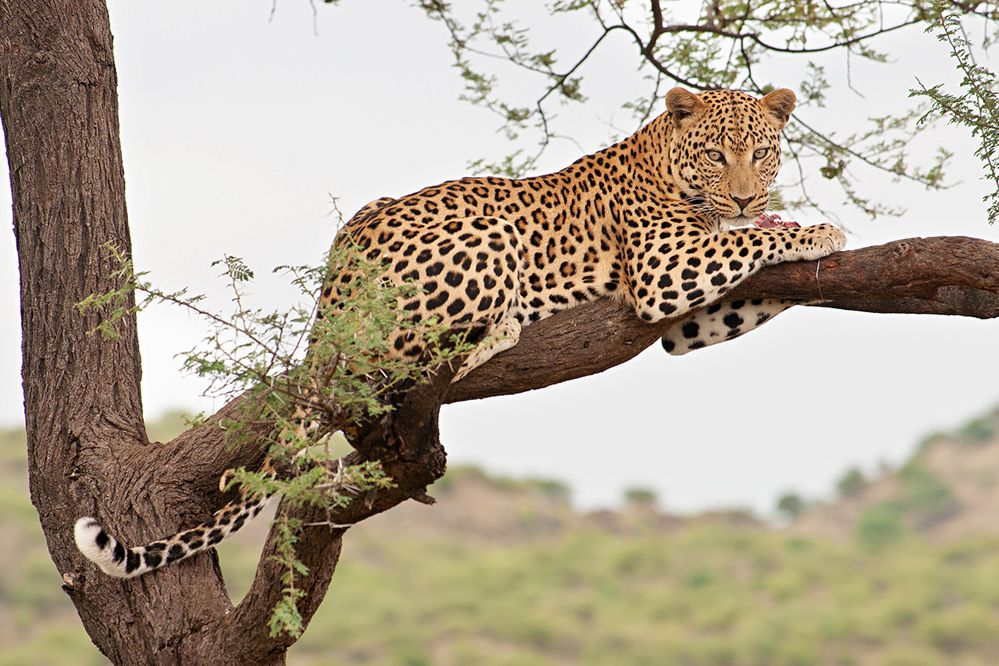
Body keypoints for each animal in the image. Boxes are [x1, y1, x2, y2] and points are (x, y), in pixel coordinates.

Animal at [74, 87, 848, 576]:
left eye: (762, 151)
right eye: (717, 154)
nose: (747, 196)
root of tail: (336, 277)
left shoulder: (686, 322)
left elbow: (749, 274)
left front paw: (797, 230)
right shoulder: (662, 268)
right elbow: (744, 244)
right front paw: (818, 229)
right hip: (485, 236)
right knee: (397, 359)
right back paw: (497, 330)